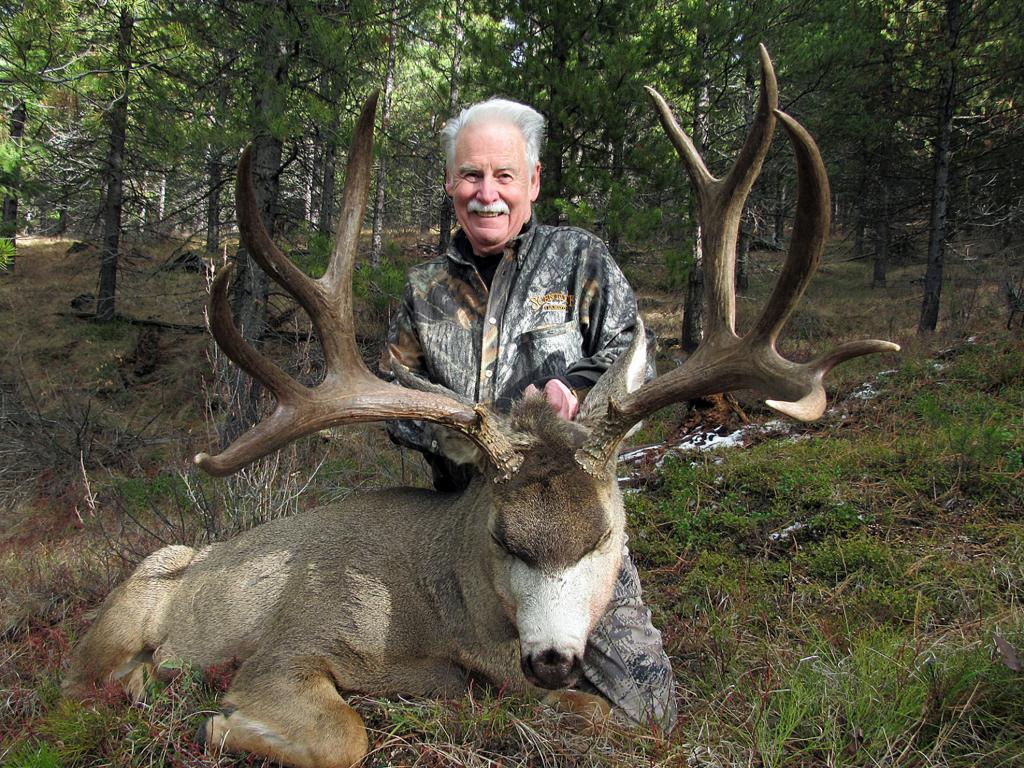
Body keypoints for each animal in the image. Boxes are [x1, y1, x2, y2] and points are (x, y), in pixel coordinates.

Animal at [63, 46, 898, 768]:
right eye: (503, 536)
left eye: (607, 536)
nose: (555, 658)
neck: (446, 625)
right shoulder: (290, 644)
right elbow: (345, 735)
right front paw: (215, 721)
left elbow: (619, 718)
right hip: (126, 607)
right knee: (83, 681)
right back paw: (142, 683)